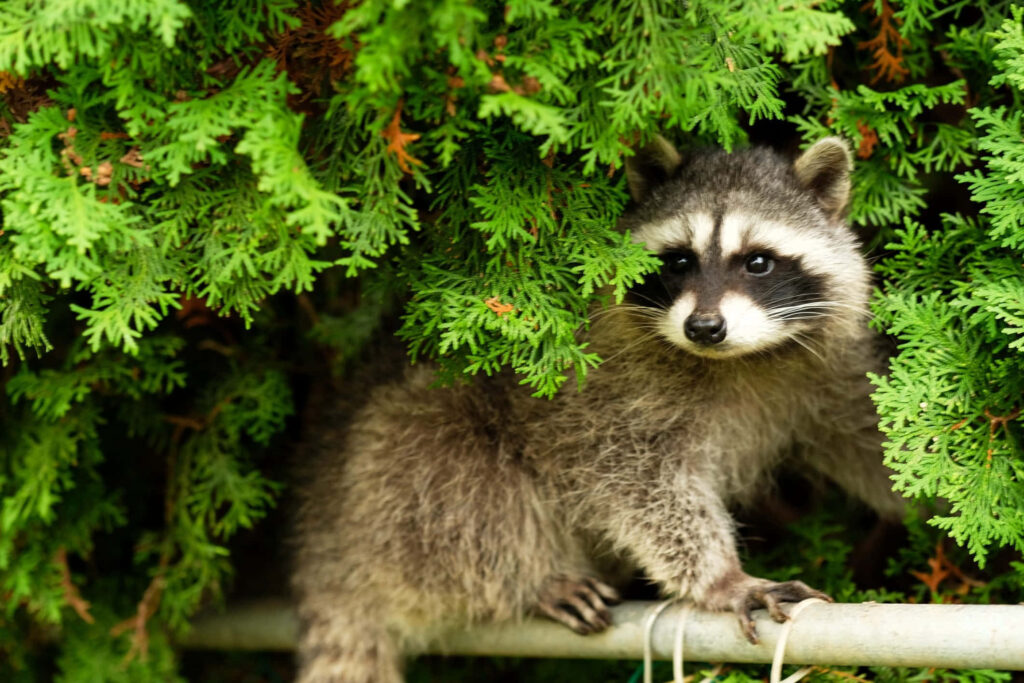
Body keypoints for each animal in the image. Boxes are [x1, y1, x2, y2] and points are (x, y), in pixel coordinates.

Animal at [291, 137, 903, 683]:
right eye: (678, 261)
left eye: (758, 262)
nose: (704, 327)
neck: (738, 360)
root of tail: (326, 548)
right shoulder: (605, 393)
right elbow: (636, 481)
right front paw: (719, 577)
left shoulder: (821, 371)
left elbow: (863, 431)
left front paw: (903, 504)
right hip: (386, 478)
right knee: (458, 486)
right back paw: (531, 579)